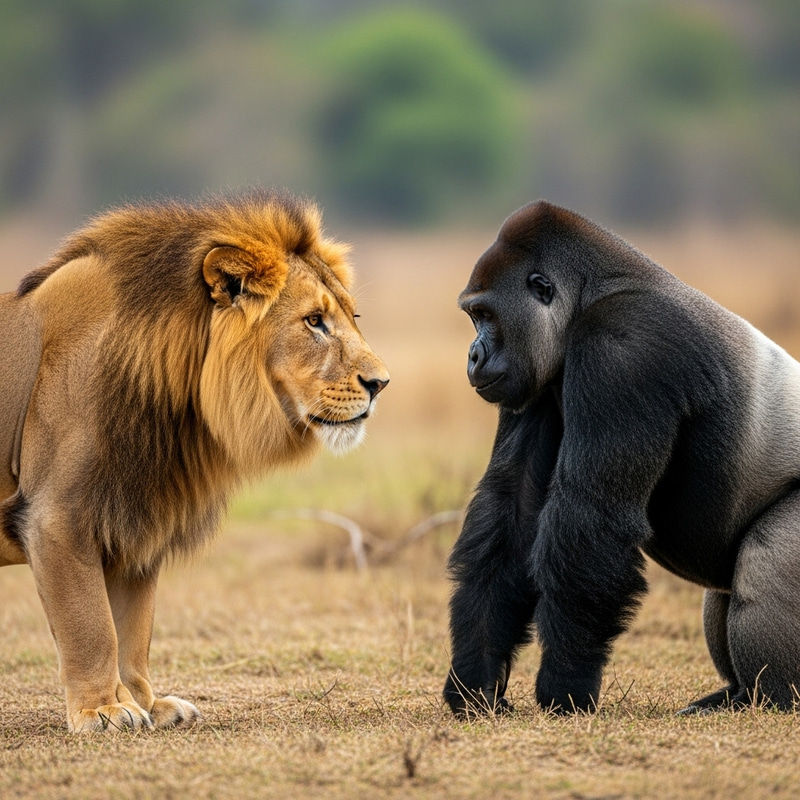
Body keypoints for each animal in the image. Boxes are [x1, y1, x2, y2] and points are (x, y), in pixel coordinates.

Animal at [0, 189, 388, 733]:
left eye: (353, 318)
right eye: (314, 320)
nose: (381, 383)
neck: (176, 401)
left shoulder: (134, 518)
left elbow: (132, 629)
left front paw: (145, 703)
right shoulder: (56, 516)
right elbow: (91, 625)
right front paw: (102, 710)